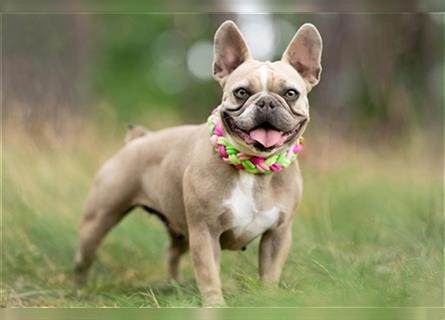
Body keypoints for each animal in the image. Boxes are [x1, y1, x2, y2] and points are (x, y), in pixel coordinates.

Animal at [73, 20, 322, 304]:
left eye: (291, 93)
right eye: (241, 92)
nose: (267, 102)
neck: (252, 166)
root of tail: (138, 140)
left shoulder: (278, 234)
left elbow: (270, 273)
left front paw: (268, 300)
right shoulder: (205, 232)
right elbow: (209, 274)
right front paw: (215, 305)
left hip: (179, 228)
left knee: (172, 251)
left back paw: (174, 286)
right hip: (99, 218)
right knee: (84, 257)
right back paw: (79, 290)